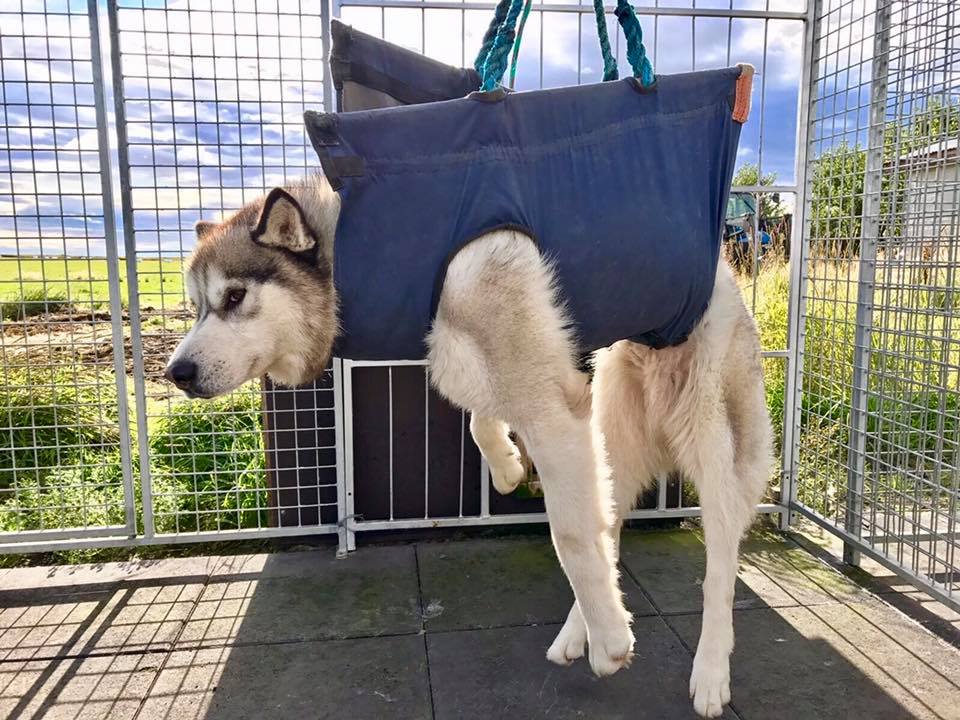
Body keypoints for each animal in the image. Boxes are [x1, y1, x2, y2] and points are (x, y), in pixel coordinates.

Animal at [165, 172, 772, 716]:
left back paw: (704, 671)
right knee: (610, 525)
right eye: (196, 307)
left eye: (234, 296)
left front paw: (615, 643)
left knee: (717, 570)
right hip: (612, 436)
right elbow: (483, 424)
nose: (176, 372)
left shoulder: (554, 405)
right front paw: (505, 466)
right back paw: (579, 632)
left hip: (713, 441)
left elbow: (571, 536)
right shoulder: (491, 368)